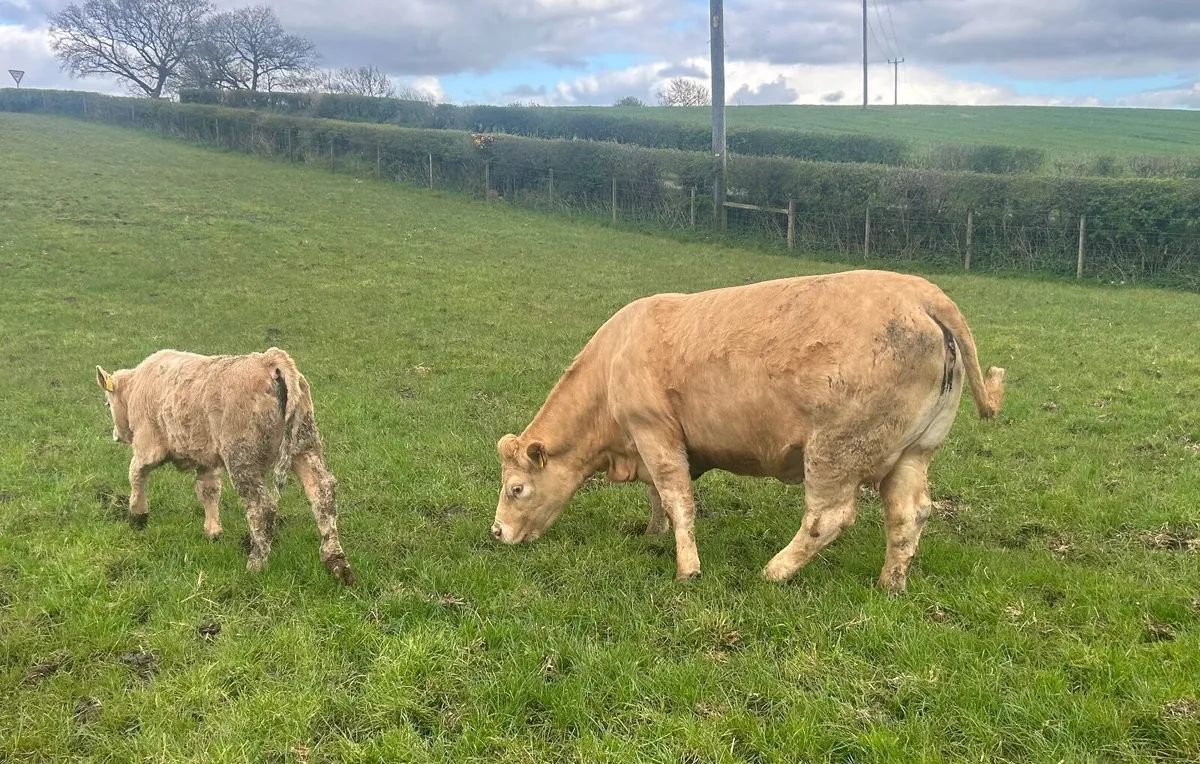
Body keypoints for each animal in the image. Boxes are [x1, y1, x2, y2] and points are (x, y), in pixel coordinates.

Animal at [95, 347, 354, 585]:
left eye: (108, 403)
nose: (116, 436)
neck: (136, 386)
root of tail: (269, 361)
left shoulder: (147, 446)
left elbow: (136, 475)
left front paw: (137, 516)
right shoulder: (207, 459)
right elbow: (208, 490)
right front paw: (213, 531)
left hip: (242, 459)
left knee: (262, 508)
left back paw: (256, 564)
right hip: (304, 446)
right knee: (322, 492)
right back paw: (336, 562)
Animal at [492, 270, 1005, 593]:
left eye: (517, 488)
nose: (496, 532)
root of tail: (922, 293)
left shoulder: (654, 431)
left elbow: (677, 498)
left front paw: (687, 568)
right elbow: (658, 495)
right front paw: (653, 533)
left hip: (835, 449)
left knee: (829, 517)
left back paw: (775, 571)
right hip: (915, 452)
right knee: (908, 514)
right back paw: (890, 585)